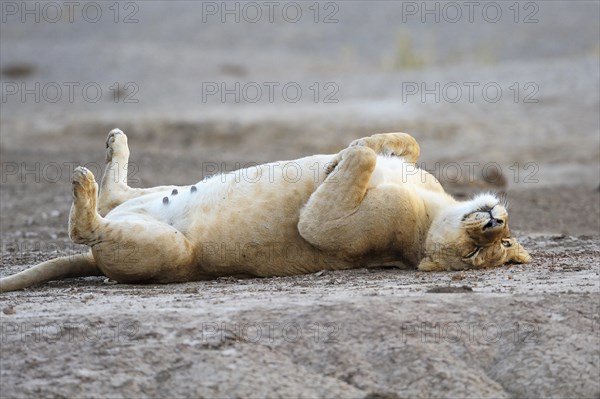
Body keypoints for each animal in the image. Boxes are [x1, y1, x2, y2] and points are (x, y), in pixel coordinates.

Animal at [0, 130, 528, 292]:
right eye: (501, 244)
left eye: (479, 257)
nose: (494, 221)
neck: (437, 209)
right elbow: (406, 143)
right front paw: (361, 147)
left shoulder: (324, 227)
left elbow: (353, 168)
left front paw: (346, 154)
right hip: (152, 196)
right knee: (116, 195)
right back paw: (113, 146)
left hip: (170, 251)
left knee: (87, 227)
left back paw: (83, 184)